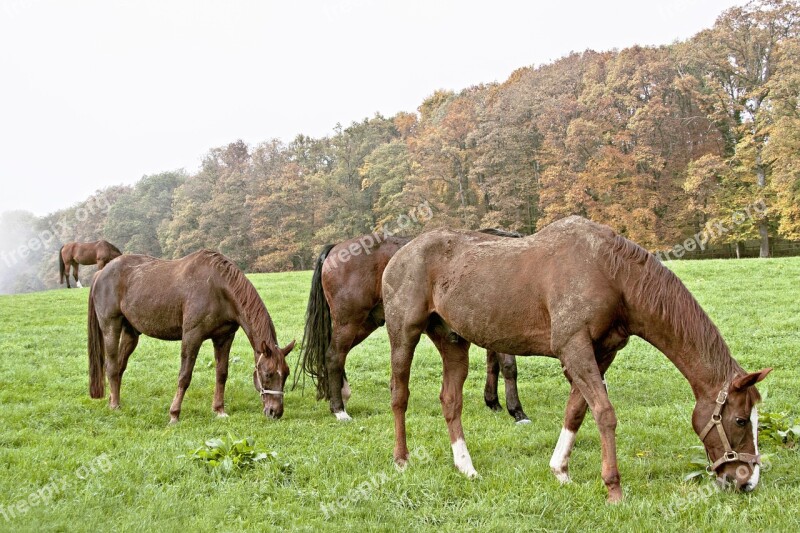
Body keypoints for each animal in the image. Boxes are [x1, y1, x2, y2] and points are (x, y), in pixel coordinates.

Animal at [88, 248, 294, 420]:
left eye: (286, 374)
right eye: (267, 374)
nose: (275, 412)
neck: (218, 288)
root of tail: (101, 273)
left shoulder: (224, 338)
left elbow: (222, 373)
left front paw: (219, 410)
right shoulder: (192, 337)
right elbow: (184, 376)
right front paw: (174, 414)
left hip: (131, 334)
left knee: (120, 366)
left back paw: (113, 399)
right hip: (111, 327)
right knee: (112, 366)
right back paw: (115, 405)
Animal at [296, 227, 532, 422]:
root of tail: (336, 247)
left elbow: (493, 365)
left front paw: (494, 402)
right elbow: (509, 367)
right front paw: (517, 411)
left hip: (365, 323)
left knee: (336, 356)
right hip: (349, 322)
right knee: (334, 356)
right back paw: (339, 409)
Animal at [384, 215, 772, 498]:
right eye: (740, 420)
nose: (747, 480)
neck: (611, 274)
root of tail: (400, 254)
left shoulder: (600, 353)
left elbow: (577, 411)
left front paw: (560, 471)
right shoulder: (574, 347)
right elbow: (604, 413)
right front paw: (614, 488)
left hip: (453, 342)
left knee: (451, 401)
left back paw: (466, 467)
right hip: (403, 335)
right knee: (399, 395)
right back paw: (401, 459)